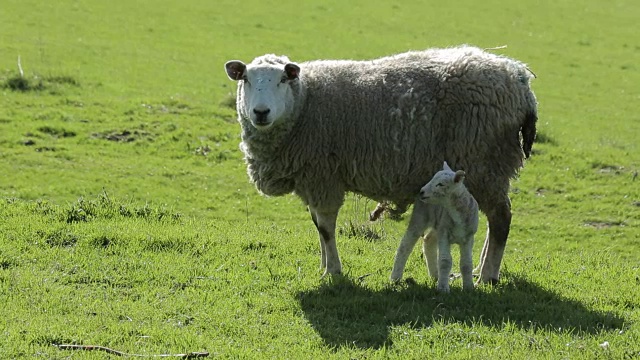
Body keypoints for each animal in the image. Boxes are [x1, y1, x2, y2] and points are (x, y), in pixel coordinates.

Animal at [390, 162, 480, 292]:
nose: (422, 191)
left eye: (441, 184)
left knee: (428, 241)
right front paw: (443, 288)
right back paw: (395, 277)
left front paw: (468, 288)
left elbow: (466, 264)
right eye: (433, 179)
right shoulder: (444, 234)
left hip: (438, 225)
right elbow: (445, 261)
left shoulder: (468, 237)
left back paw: (435, 276)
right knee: (405, 246)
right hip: (420, 217)